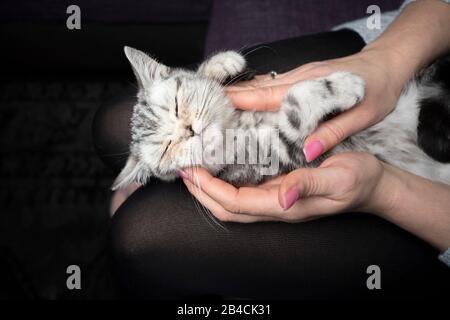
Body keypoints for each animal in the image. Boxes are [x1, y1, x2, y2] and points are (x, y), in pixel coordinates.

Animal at [111, 46, 450, 189]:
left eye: (177, 105)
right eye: (167, 149)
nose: (190, 131)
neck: (238, 123)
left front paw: (220, 65)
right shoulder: (276, 154)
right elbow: (295, 106)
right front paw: (341, 86)